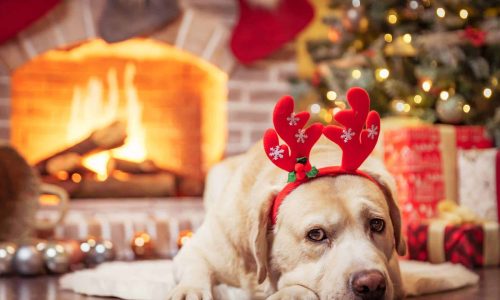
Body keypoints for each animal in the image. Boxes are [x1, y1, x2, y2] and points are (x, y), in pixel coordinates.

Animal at [169, 137, 406, 300]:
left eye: (377, 224)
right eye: (316, 234)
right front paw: (190, 290)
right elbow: (195, 268)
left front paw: (288, 293)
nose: (372, 285)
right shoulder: (196, 249)